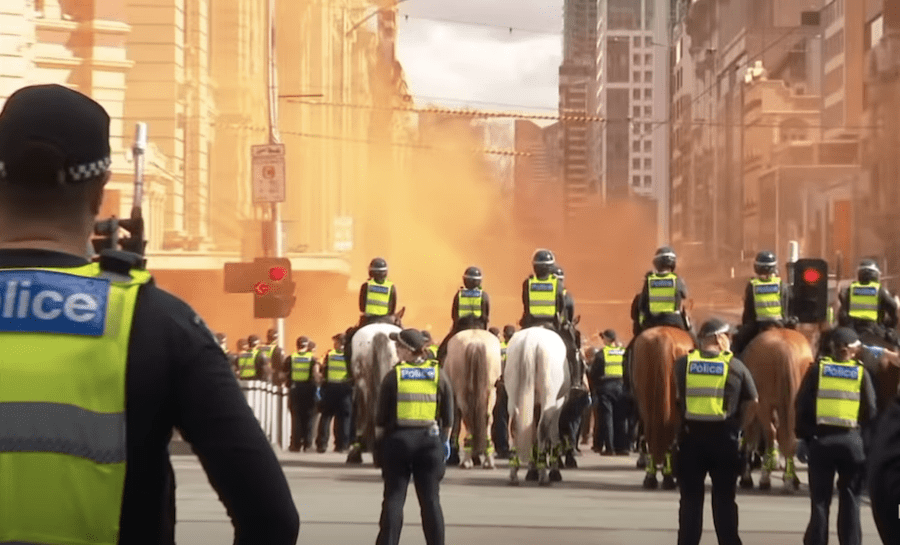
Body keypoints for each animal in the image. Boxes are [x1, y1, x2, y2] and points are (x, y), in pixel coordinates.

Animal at [444, 330, 506, 470]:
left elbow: (456, 423)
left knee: (468, 418)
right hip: (491, 391)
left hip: (462, 391)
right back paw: (488, 460)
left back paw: (467, 460)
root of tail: (475, 343)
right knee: (487, 418)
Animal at [506, 326, 568, 486]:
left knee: (514, 426)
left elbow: (531, 433)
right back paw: (543, 474)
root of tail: (530, 342)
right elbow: (553, 434)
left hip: (513, 396)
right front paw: (554, 471)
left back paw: (514, 473)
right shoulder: (558, 403)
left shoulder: (534, 406)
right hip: (549, 397)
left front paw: (531, 470)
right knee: (542, 429)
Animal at [740, 328, 816, 492]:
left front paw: (747, 477)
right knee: (787, 436)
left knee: (772, 433)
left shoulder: (751, 410)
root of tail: (785, 348)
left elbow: (750, 439)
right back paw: (789, 478)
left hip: (763, 405)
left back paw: (766, 478)